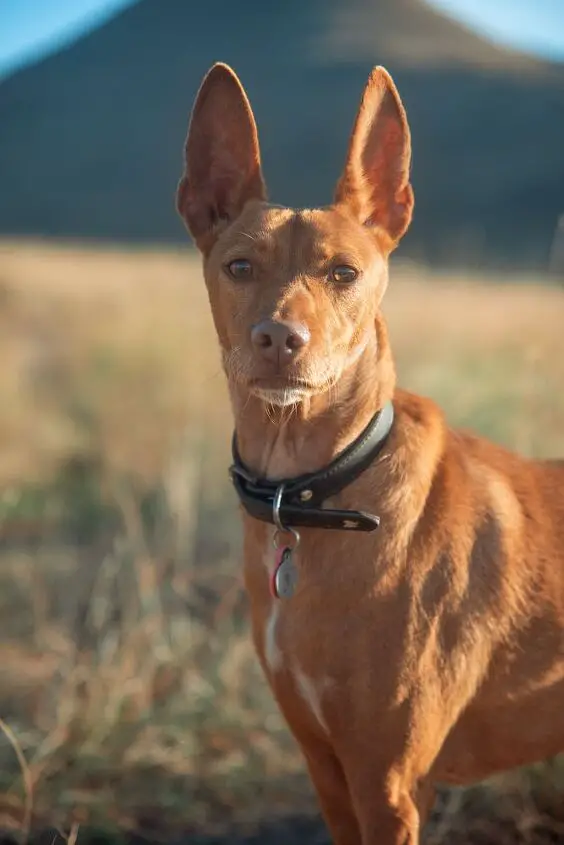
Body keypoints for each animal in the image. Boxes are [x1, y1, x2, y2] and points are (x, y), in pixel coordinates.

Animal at [176, 62, 564, 840]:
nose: (278, 338)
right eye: (239, 266)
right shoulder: (327, 767)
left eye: (343, 274)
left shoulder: (388, 784)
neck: (312, 493)